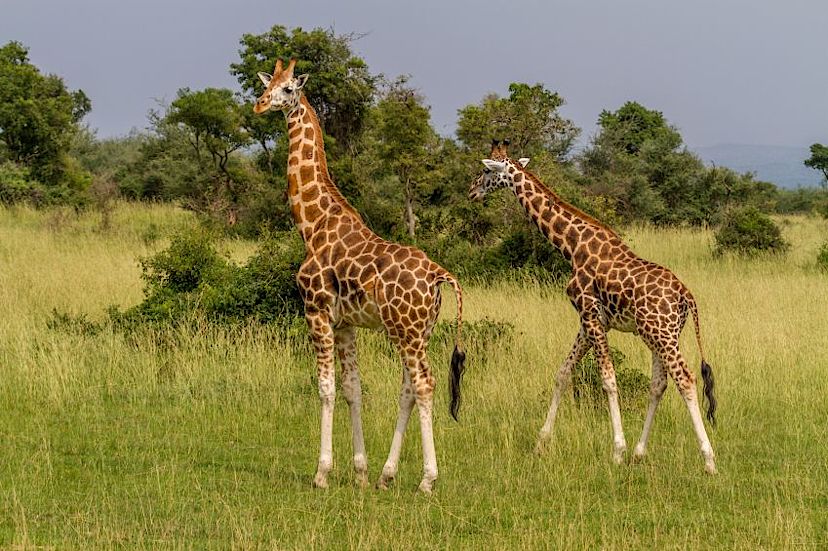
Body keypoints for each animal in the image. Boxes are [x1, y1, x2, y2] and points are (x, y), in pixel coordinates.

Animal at [254, 58, 466, 493]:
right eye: (268, 84)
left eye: (288, 89)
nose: (260, 105)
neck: (313, 224)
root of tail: (440, 276)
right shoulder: (346, 323)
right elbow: (353, 389)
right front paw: (361, 471)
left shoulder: (315, 311)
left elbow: (326, 388)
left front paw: (322, 473)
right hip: (419, 331)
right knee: (408, 388)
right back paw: (387, 474)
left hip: (406, 331)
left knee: (425, 384)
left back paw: (427, 480)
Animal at [468, 140, 717, 474]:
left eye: (485, 171)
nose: (472, 191)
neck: (572, 246)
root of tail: (686, 295)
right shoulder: (590, 321)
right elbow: (563, 373)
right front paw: (540, 443)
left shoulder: (589, 314)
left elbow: (608, 380)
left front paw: (617, 451)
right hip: (660, 333)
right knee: (659, 384)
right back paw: (640, 453)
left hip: (661, 334)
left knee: (686, 379)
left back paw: (708, 460)